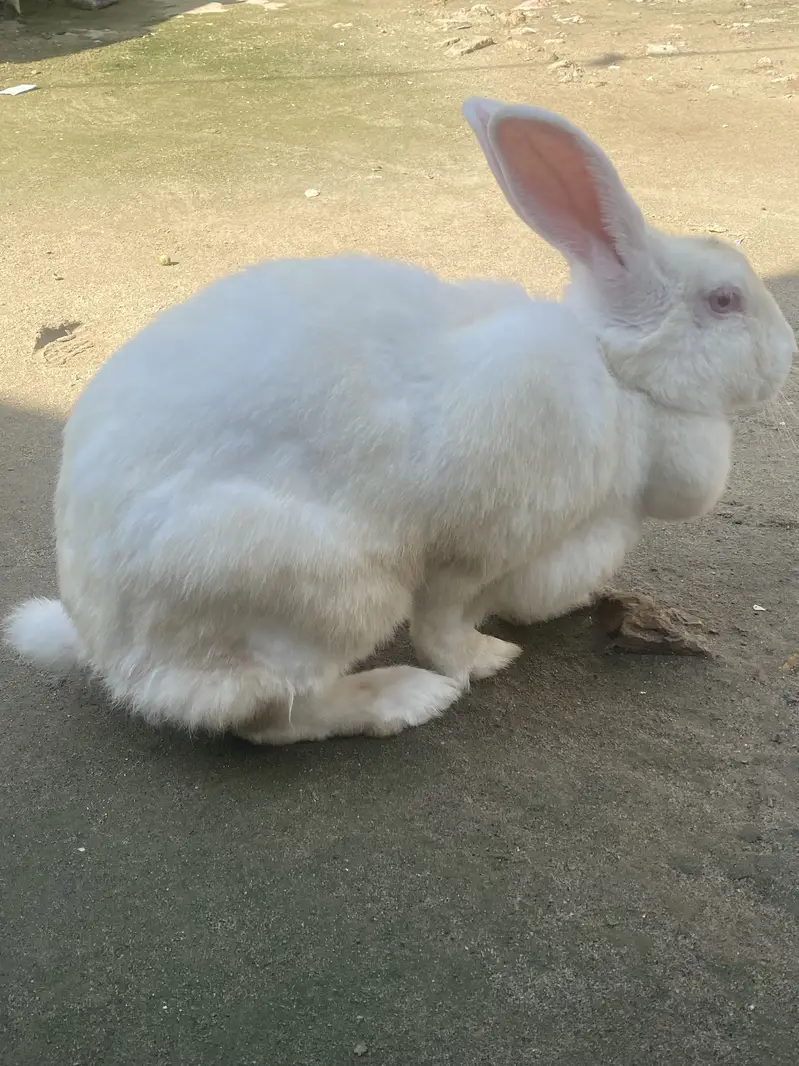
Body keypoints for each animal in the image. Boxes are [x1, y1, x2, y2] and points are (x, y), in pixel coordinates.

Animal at [4, 97, 795, 746]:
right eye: (725, 301)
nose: (788, 353)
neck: (621, 383)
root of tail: (104, 648)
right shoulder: (474, 550)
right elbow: (445, 625)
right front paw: (485, 659)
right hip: (324, 592)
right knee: (267, 716)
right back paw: (406, 699)